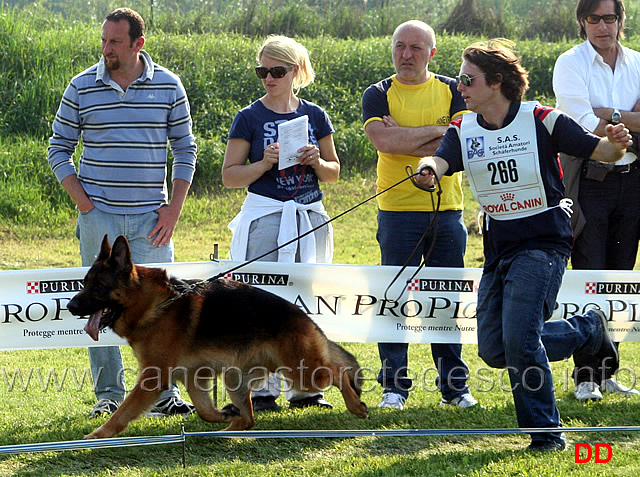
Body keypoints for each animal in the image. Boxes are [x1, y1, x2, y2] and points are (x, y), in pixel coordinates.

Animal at [67, 234, 368, 438]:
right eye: (85, 283)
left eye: (99, 287)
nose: (70, 307)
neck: (153, 303)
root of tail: (303, 316)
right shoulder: (193, 376)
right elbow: (204, 410)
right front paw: (223, 415)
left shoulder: (153, 378)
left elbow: (123, 412)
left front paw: (97, 436)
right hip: (238, 378)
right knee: (249, 418)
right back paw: (230, 426)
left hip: (302, 372)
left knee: (338, 371)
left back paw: (355, 405)